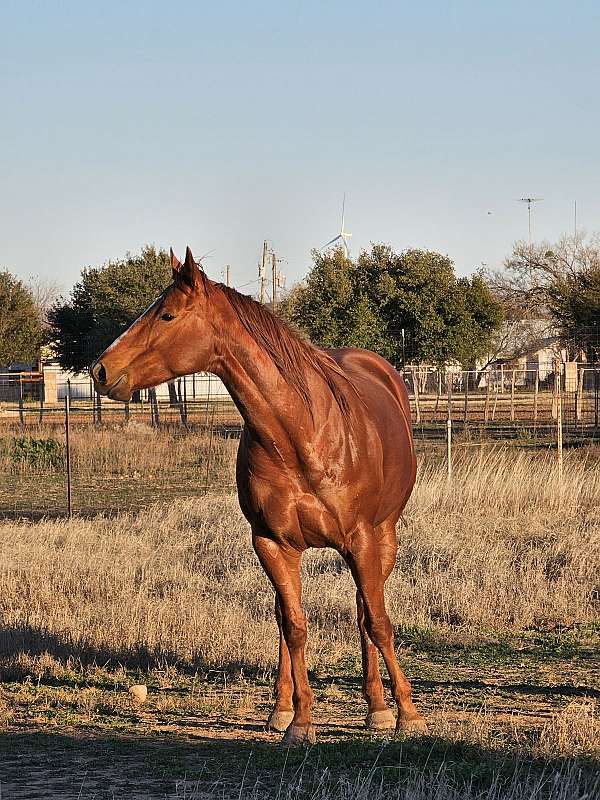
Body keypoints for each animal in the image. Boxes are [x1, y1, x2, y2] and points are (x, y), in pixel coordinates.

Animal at [91, 245, 424, 744]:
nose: (100, 369)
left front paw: (407, 713)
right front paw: (300, 721)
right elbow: (294, 626)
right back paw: (282, 710)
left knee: (366, 610)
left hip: (383, 537)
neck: (302, 433)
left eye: (167, 314)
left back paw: (378, 706)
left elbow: (378, 622)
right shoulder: (271, 543)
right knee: (289, 620)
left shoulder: (362, 539)